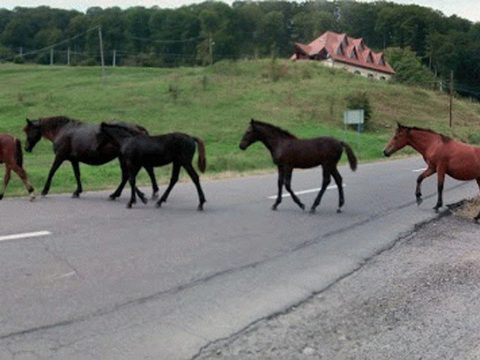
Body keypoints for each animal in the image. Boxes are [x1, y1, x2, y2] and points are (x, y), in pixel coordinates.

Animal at [23, 115, 159, 200]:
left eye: (28, 130)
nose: (26, 148)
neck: (62, 130)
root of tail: (137, 127)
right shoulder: (74, 160)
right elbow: (77, 174)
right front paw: (77, 191)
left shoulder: (60, 156)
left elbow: (51, 172)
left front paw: (44, 191)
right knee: (140, 172)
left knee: (129, 175)